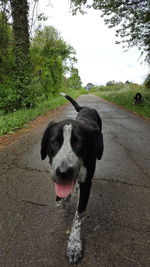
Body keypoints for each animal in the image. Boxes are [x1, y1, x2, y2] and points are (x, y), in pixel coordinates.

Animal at [40, 93, 103, 264]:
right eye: (54, 142)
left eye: (79, 143)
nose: (63, 172)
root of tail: (86, 108)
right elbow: (60, 200)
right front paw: (64, 199)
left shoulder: (87, 183)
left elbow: (78, 217)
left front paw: (74, 245)